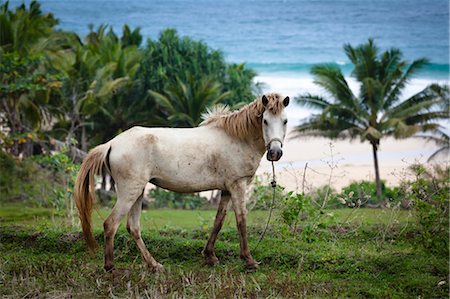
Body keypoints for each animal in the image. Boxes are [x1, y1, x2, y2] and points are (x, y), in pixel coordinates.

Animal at [74, 92, 288, 274]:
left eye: (285, 121)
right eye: (265, 121)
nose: (275, 153)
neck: (237, 138)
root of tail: (111, 143)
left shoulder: (227, 189)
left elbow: (218, 220)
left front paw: (209, 256)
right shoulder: (238, 185)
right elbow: (241, 220)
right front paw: (249, 260)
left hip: (138, 191)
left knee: (133, 227)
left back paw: (153, 265)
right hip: (129, 192)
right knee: (111, 224)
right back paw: (110, 266)